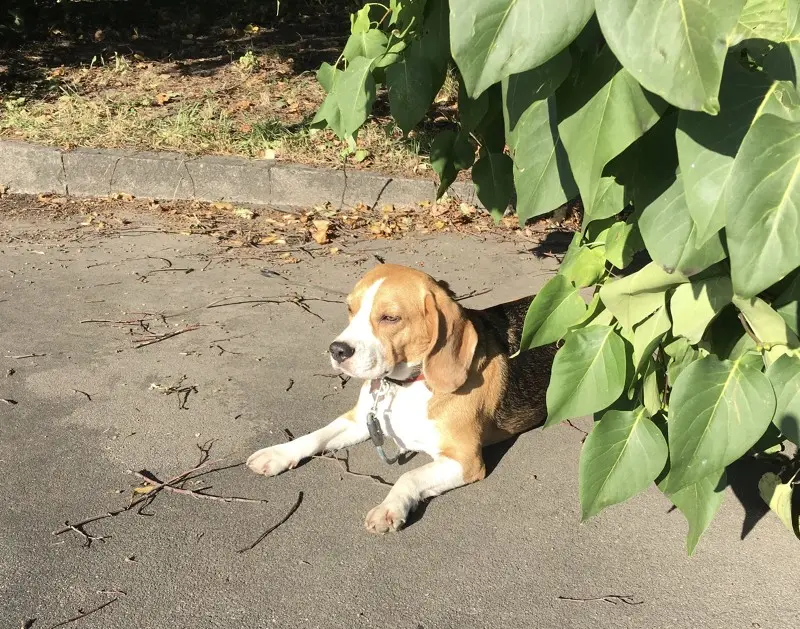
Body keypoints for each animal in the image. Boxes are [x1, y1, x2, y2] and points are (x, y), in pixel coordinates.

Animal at [246, 263, 556, 533]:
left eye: (390, 318)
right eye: (350, 309)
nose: (337, 350)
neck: (405, 385)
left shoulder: (465, 460)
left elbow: (409, 475)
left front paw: (389, 507)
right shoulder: (360, 421)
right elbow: (315, 435)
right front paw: (278, 453)